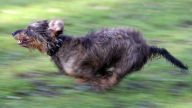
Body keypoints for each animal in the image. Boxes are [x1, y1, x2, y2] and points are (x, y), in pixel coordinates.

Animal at [11, 19, 188, 91]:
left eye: (29, 29)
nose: (12, 32)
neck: (59, 46)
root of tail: (147, 47)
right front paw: (100, 78)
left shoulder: (84, 68)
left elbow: (93, 76)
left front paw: (100, 82)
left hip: (125, 62)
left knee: (115, 77)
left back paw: (105, 84)